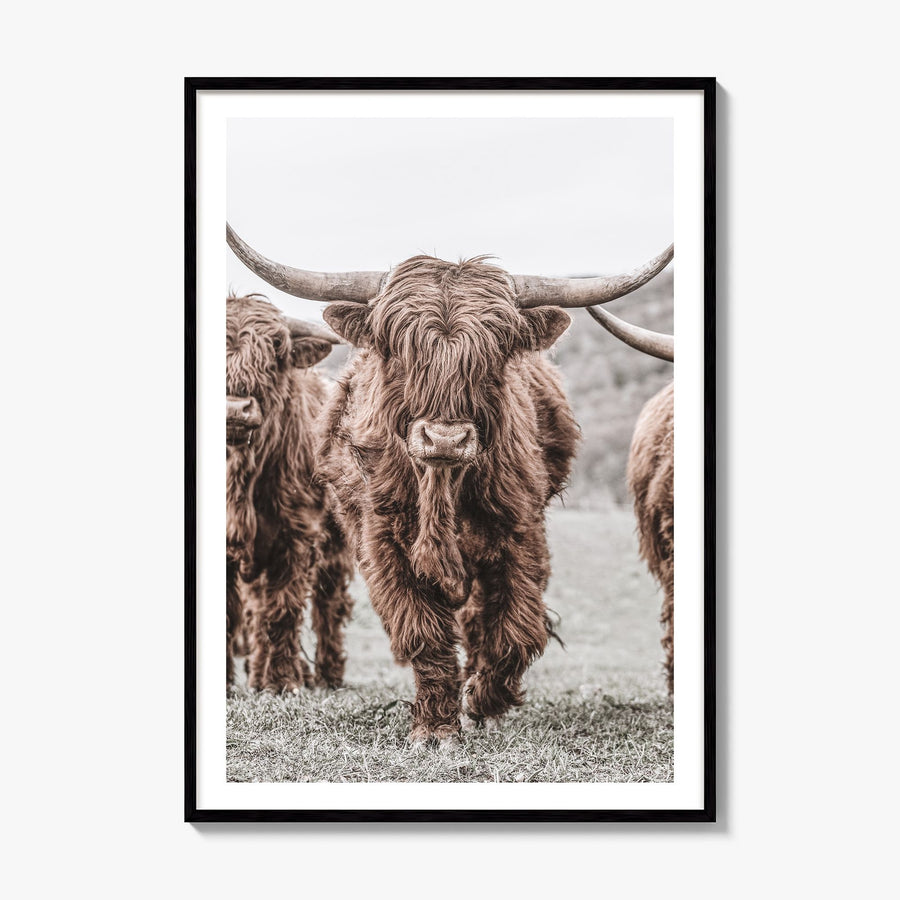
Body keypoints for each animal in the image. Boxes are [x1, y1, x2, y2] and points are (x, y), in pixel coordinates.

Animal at [226, 292, 354, 694]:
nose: (235, 409)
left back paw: (326, 675)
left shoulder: (296, 534)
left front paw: (283, 682)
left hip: (336, 548)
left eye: (274, 351)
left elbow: (283, 608)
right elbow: (232, 613)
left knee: (329, 604)